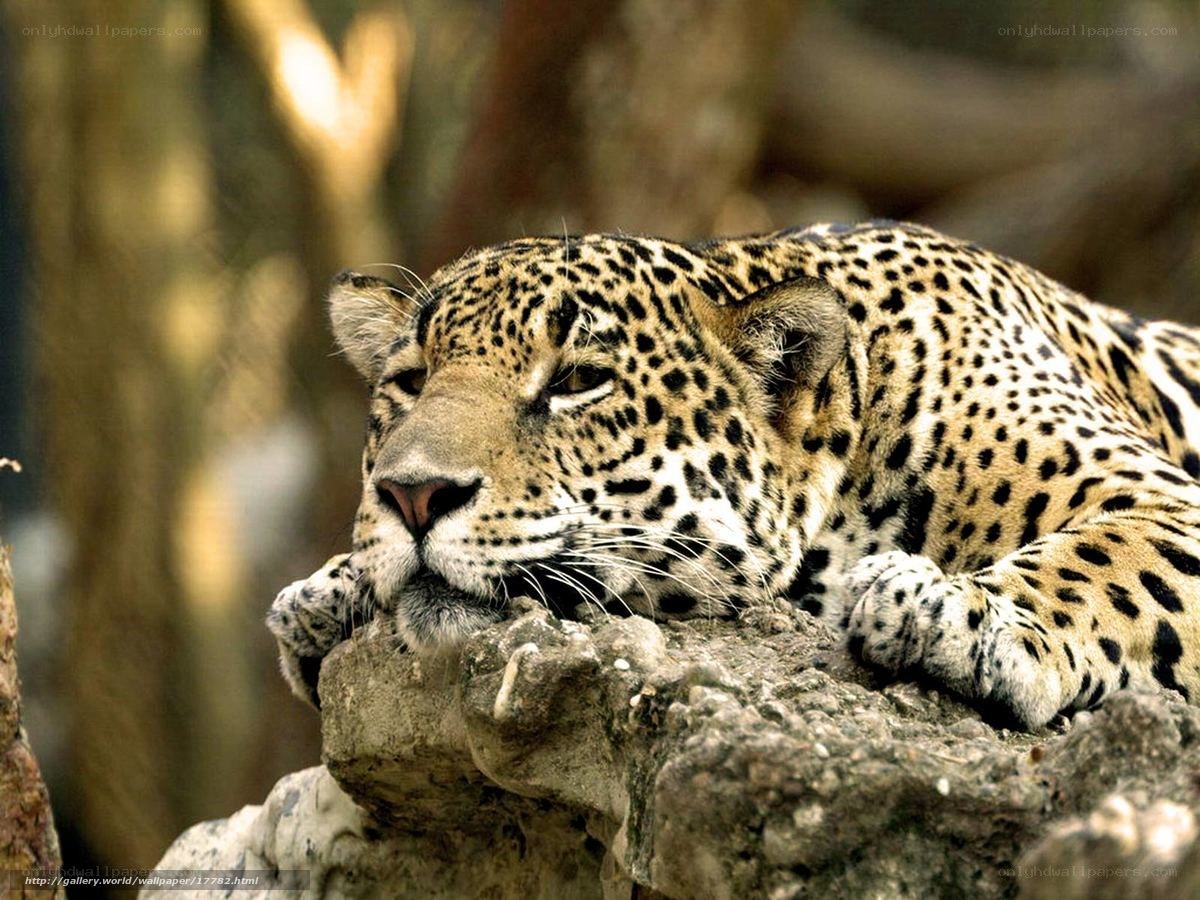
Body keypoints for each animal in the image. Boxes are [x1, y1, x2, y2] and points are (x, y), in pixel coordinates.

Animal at [268, 221, 1200, 730]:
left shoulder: (1162, 498)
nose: (412, 494)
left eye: (577, 380)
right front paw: (330, 588)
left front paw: (955, 611)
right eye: (410, 381)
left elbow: (1098, 561)